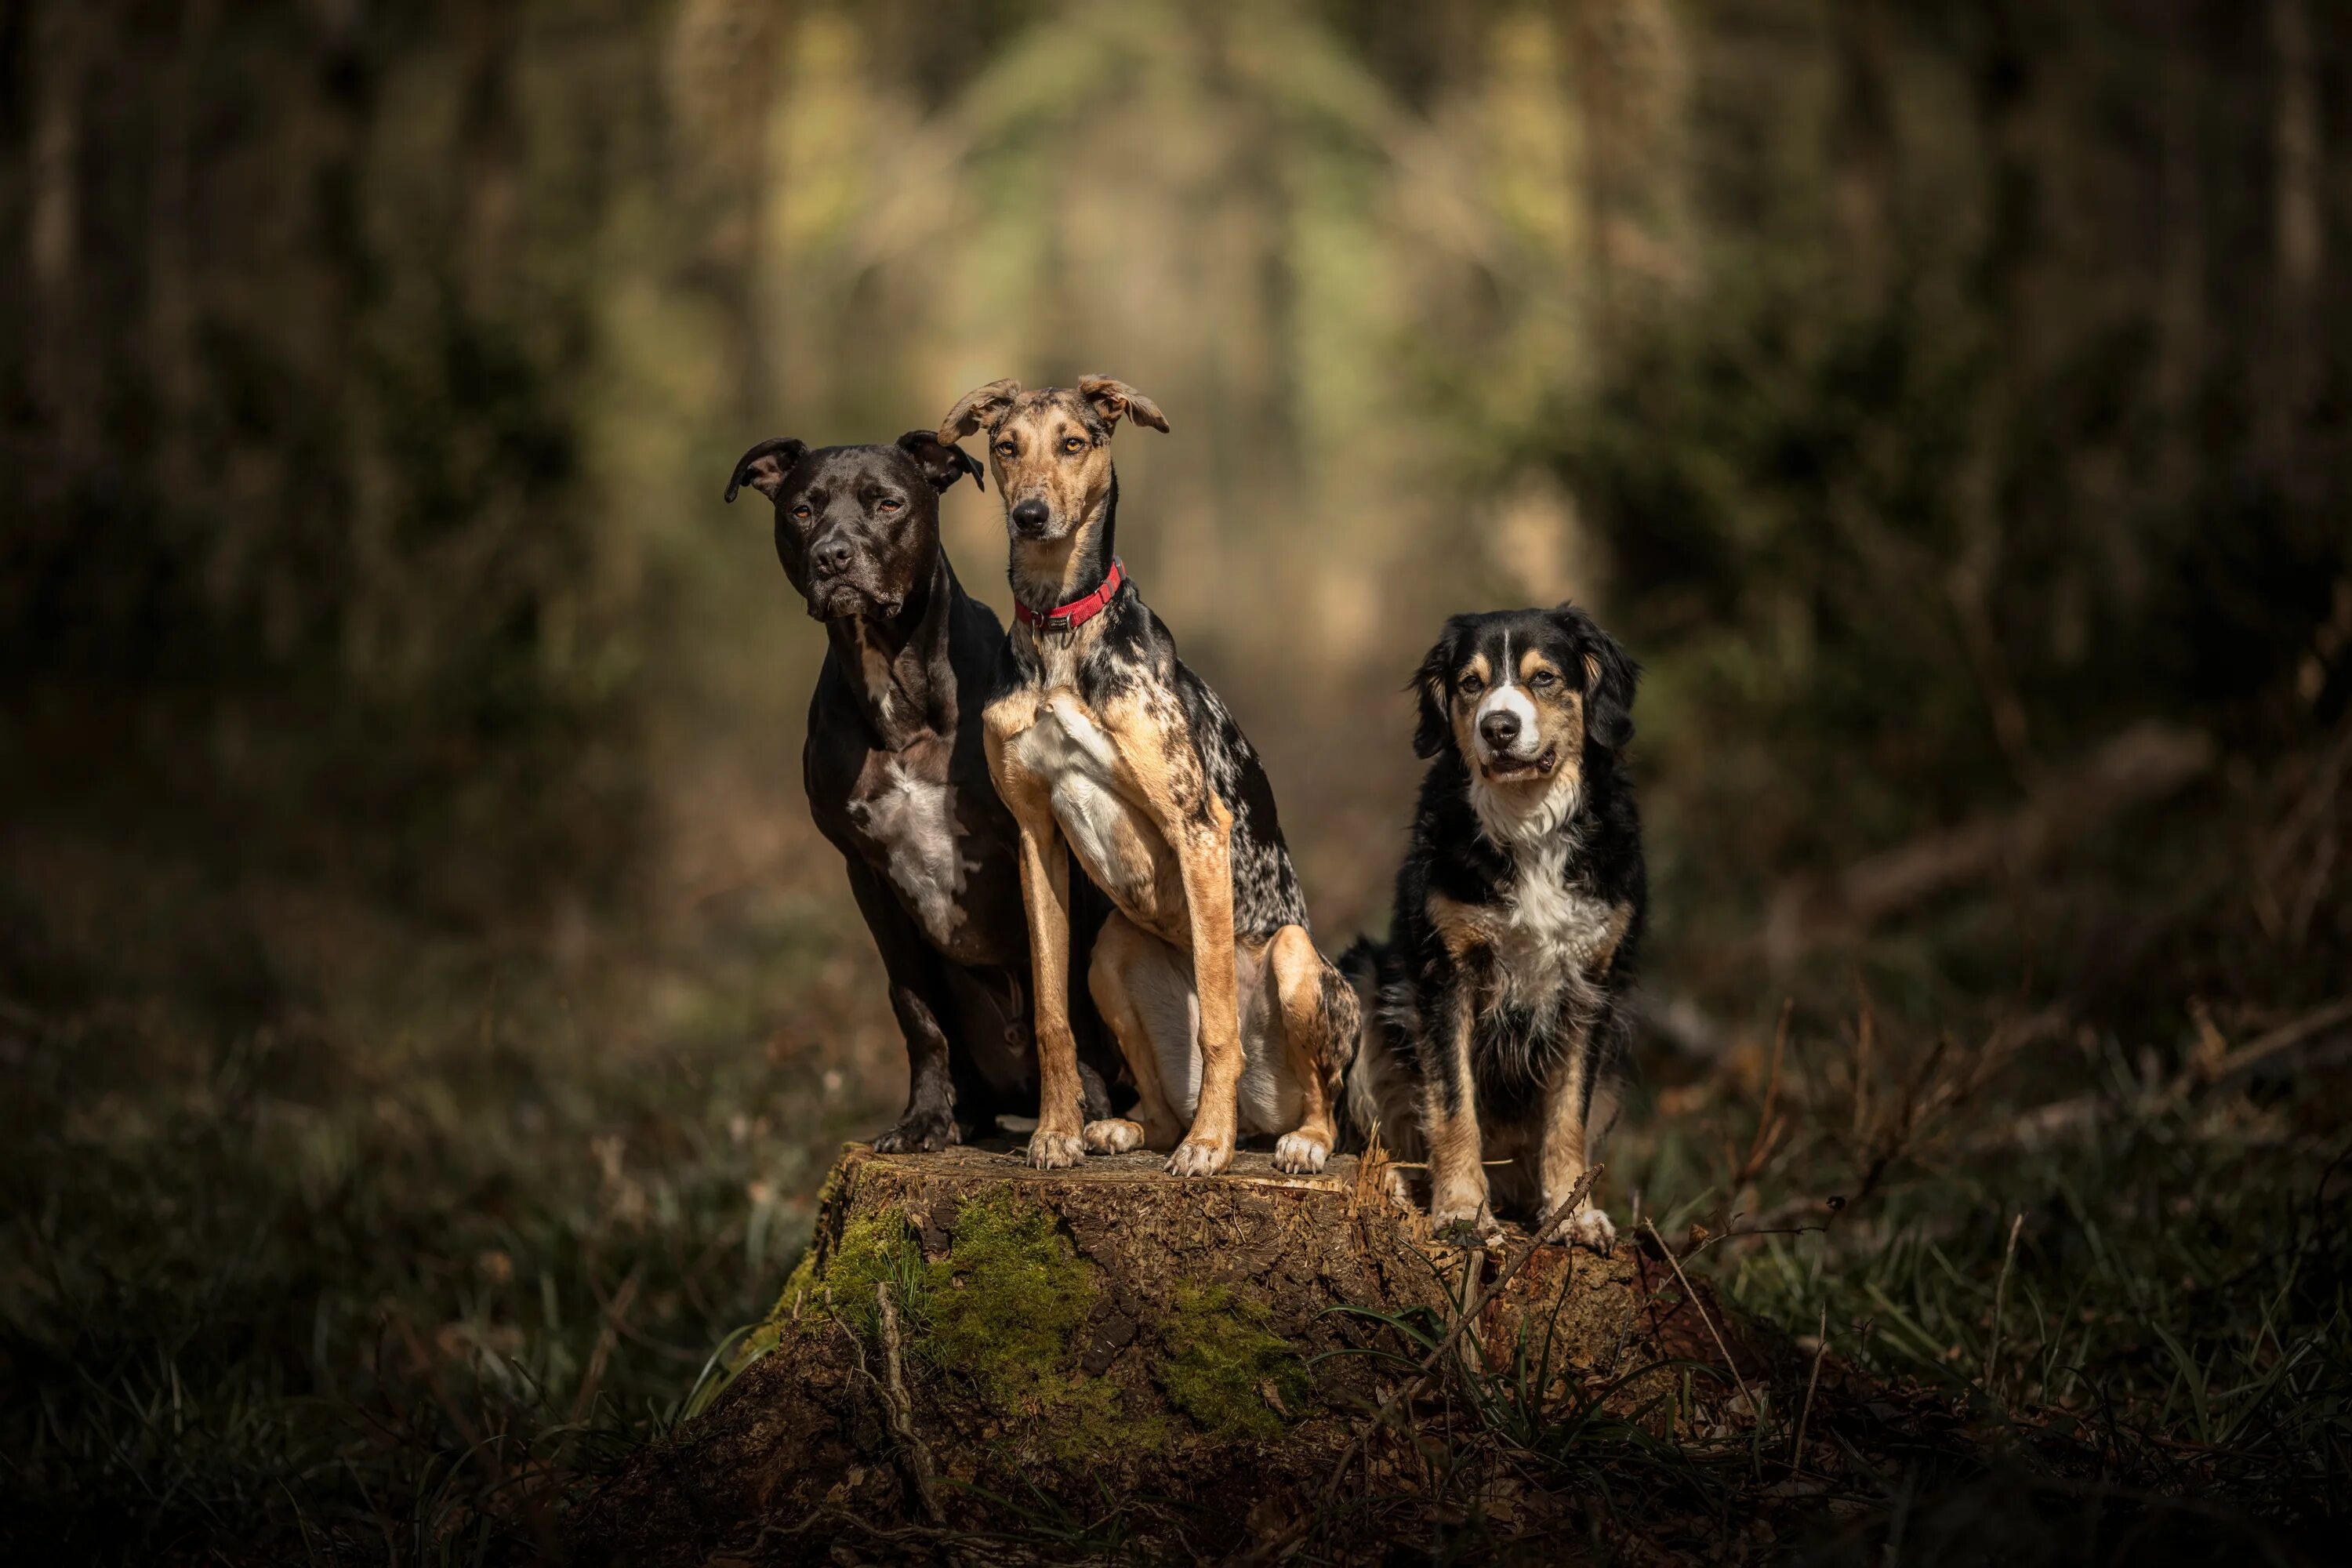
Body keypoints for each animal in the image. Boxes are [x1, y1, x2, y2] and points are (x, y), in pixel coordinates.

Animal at [720, 430, 1115, 1152]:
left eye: (888, 503)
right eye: (801, 511)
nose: (832, 556)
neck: (898, 693)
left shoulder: (1046, 845)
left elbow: (1065, 987)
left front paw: (1089, 1110)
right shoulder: (869, 876)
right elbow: (916, 1011)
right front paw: (924, 1119)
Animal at [927, 373, 1355, 1171]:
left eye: (1074, 442)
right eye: (1007, 447)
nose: (1032, 515)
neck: (1061, 628)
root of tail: (1263, 1115)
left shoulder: (1197, 826)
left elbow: (1216, 1027)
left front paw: (1208, 1148)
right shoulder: (1035, 838)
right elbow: (1050, 1016)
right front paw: (1054, 1132)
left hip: (1294, 960)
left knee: (1321, 1099)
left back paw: (1289, 1141)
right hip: (1111, 952)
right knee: (1155, 1100)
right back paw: (1127, 1129)